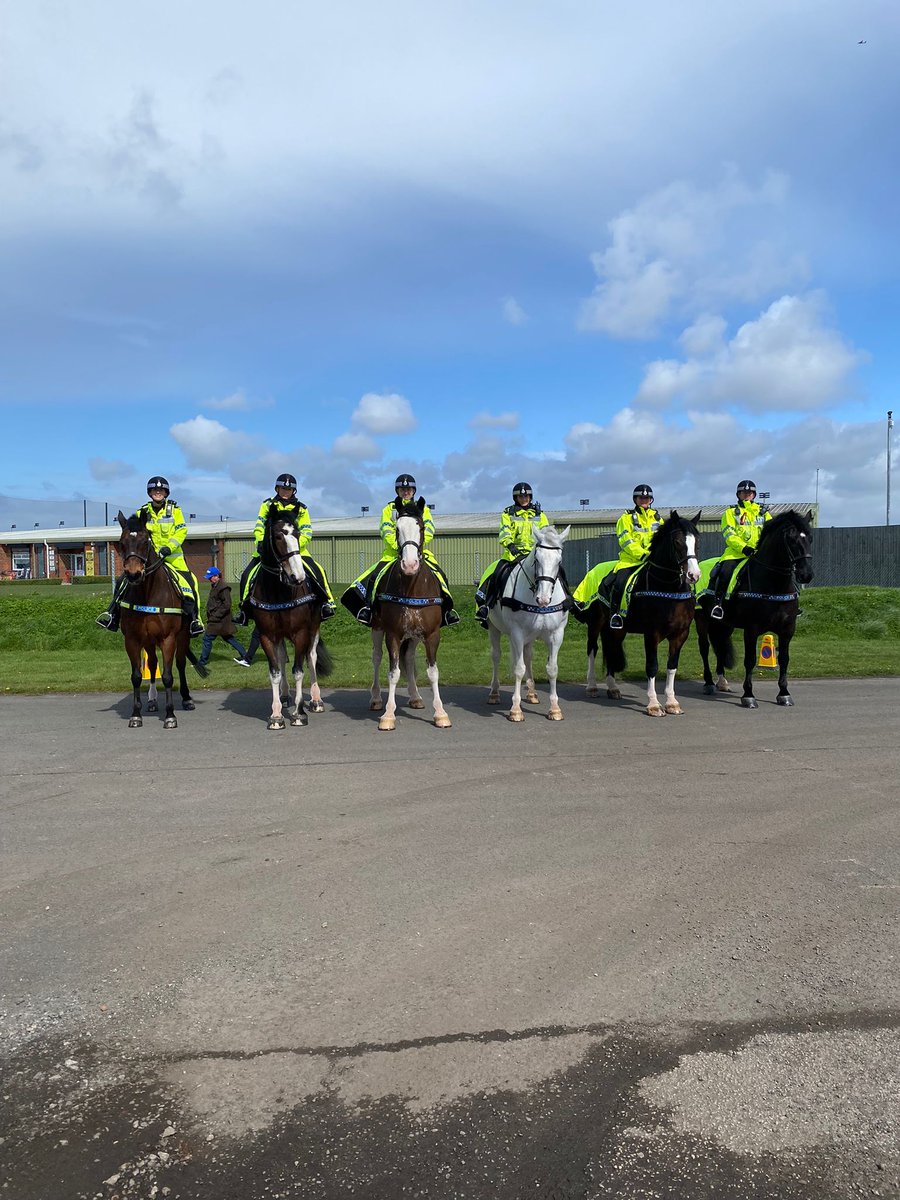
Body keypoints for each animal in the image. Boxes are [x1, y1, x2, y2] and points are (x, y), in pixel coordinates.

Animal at [367, 496, 451, 729]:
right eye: (397, 529)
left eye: (420, 527)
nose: (410, 564)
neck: (412, 587)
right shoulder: (393, 634)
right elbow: (393, 673)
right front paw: (388, 715)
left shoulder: (432, 635)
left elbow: (433, 672)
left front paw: (440, 713)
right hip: (378, 628)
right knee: (376, 658)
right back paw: (376, 699)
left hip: (413, 636)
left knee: (410, 658)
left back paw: (415, 697)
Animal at [487, 518, 571, 715]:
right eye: (537, 559)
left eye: (559, 561)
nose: (543, 598)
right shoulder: (517, 633)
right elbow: (518, 669)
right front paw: (516, 710)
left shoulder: (557, 635)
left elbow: (552, 669)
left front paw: (554, 709)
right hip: (494, 628)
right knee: (496, 656)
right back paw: (494, 693)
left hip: (530, 637)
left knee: (528, 656)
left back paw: (532, 693)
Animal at [585, 511, 705, 715]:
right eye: (677, 542)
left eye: (697, 541)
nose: (693, 575)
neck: (668, 589)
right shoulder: (652, 634)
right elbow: (652, 667)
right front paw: (654, 704)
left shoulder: (681, 634)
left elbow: (672, 666)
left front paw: (672, 702)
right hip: (595, 624)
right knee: (592, 650)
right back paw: (592, 686)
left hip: (617, 629)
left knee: (611, 649)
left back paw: (612, 688)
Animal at [696, 511, 816, 705]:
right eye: (791, 539)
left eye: (810, 538)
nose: (806, 575)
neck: (774, 585)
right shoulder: (751, 629)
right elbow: (750, 660)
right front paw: (748, 695)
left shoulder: (787, 629)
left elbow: (784, 659)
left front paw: (784, 693)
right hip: (701, 619)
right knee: (704, 648)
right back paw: (708, 683)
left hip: (724, 624)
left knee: (720, 646)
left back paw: (722, 682)